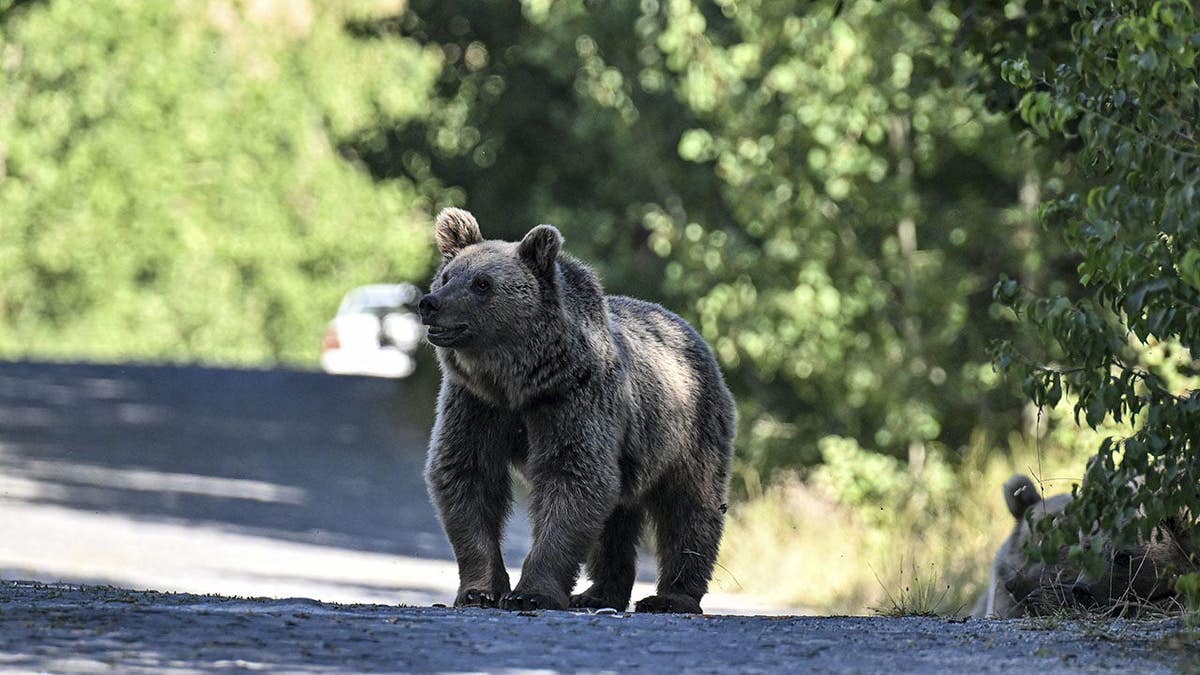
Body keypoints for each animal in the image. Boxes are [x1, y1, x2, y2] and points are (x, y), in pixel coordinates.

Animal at [419, 208, 736, 614]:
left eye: (482, 283)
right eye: (447, 276)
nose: (430, 303)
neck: (518, 382)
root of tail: (687, 329)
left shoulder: (573, 399)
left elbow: (572, 479)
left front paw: (531, 592)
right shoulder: (476, 404)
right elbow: (467, 473)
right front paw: (480, 591)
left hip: (690, 430)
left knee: (689, 507)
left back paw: (670, 597)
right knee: (616, 520)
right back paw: (599, 592)